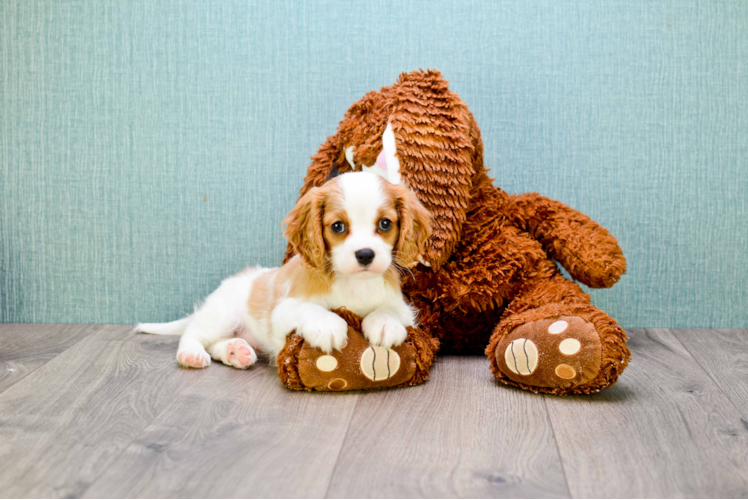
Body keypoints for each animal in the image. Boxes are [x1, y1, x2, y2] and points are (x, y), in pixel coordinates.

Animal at [137, 170, 430, 370]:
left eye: (384, 224)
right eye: (337, 227)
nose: (366, 255)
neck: (354, 284)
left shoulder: (405, 308)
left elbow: (389, 310)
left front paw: (384, 323)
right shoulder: (281, 312)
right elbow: (310, 309)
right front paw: (327, 325)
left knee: (216, 343)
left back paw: (235, 351)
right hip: (222, 314)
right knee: (194, 333)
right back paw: (192, 354)